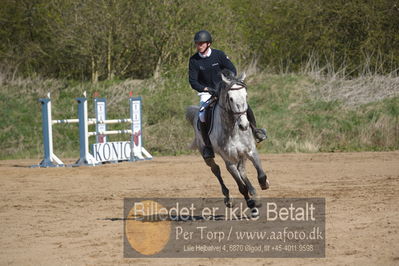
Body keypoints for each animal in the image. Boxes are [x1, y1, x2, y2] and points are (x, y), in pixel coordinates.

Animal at [186, 71, 270, 214]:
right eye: (230, 98)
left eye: (246, 96)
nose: (244, 125)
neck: (233, 129)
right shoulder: (229, 161)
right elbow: (241, 186)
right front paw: (251, 203)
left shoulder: (251, 151)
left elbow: (261, 174)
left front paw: (263, 185)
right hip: (207, 155)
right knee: (216, 170)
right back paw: (229, 198)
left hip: (241, 155)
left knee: (242, 171)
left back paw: (254, 192)